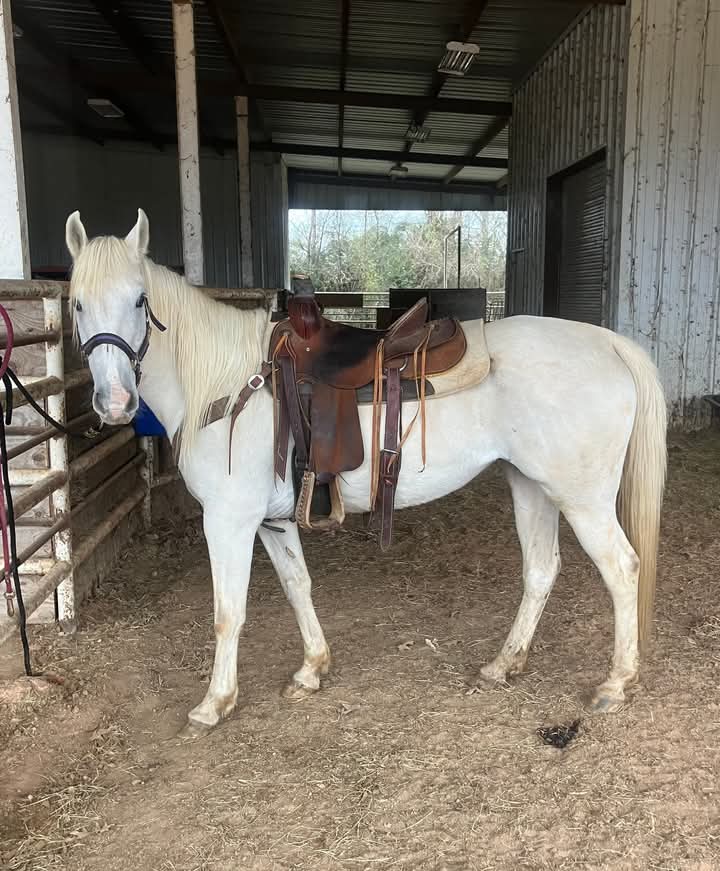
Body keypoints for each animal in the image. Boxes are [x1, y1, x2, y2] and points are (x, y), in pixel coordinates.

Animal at [65, 209, 667, 737]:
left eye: (140, 299)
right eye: (76, 305)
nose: (115, 403)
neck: (225, 380)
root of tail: (606, 341)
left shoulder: (228, 521)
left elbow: (227, 613)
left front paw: (214, 704)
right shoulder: (272, 521)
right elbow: (297, 586)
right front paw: (312, 669)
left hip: (582, 499)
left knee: (623, 569)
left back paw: (615, 683)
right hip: (532, 486)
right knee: (541, 570)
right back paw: (503, 664)